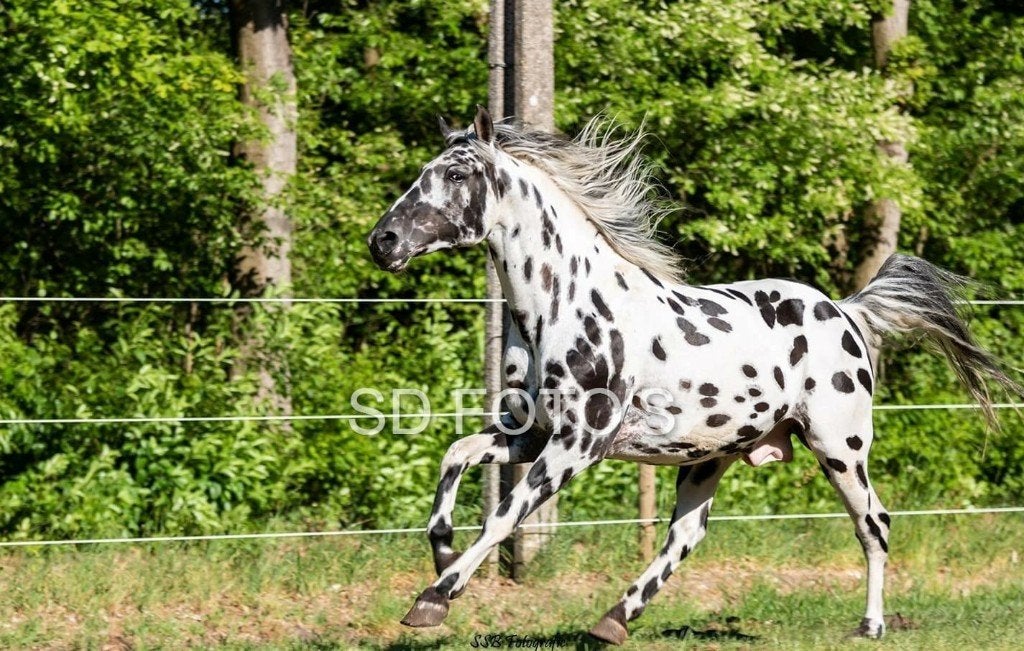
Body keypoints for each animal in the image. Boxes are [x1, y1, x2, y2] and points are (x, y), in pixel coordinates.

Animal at [367, 106, 1020, 644]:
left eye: (457, 175)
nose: (383, 241)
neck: (564, 305)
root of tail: (848, 310)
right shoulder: (531, 434)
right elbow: (455, 456)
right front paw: (441, 554)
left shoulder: (579, 444)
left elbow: (504, 516)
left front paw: (434, 598)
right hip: (712, 454)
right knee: (685, 536)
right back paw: (612, 620)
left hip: (840, 447)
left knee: (873, 523)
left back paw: (871, 625)